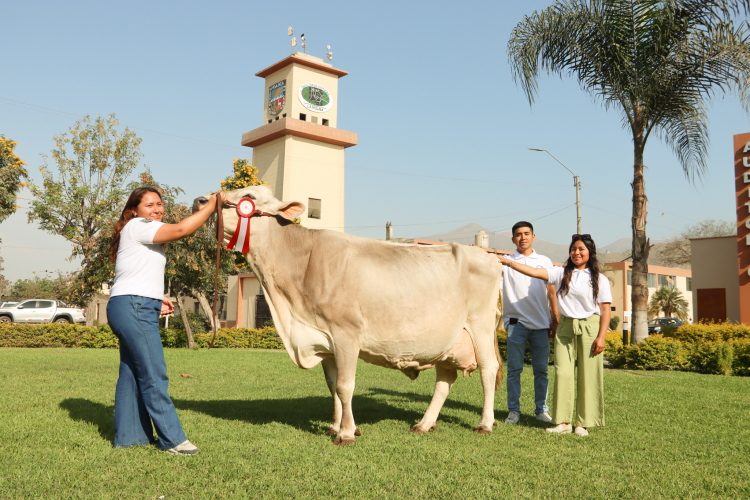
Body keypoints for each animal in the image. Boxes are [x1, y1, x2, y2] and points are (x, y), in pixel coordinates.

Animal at [197, 187, 506, 446]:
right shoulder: (325, 339)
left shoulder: (346, 333)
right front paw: (336, 426)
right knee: (444, 380)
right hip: (447, 340)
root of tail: (488, 256)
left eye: (248, 196)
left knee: (488, 370)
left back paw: (485, 424)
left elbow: (346, 386)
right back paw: (424, 424)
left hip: (480, 325)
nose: (202, 200)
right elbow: (333, 386)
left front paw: (346, 433)